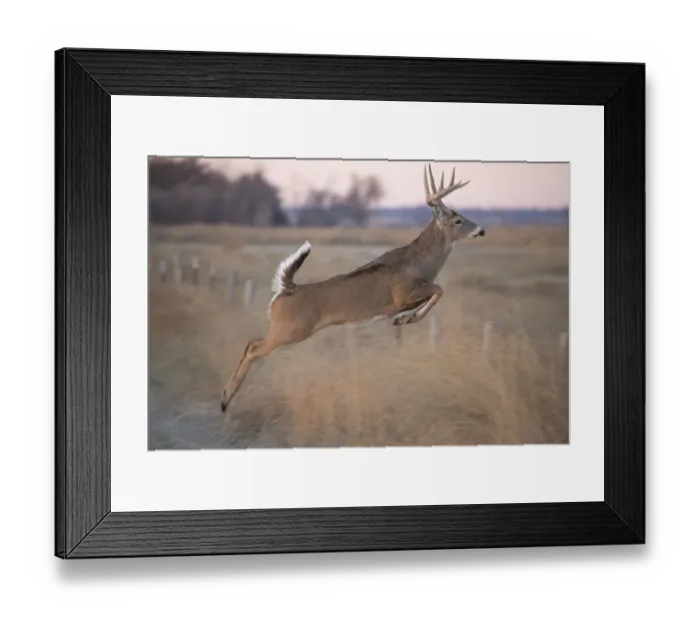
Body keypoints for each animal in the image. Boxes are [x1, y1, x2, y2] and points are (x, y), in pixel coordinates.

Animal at [220, 163, 485, 412]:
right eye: (458, 220)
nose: (481, 230)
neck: (420, 263)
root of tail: (286, 288)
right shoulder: (402, 295)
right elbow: (439, 289)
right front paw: (406, 319)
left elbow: (432, 295)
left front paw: (403, 319)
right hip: (292, 328)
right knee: (254, 348)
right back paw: (225, 399)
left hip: (285, 328)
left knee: (251, 343)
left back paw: (226, 397)